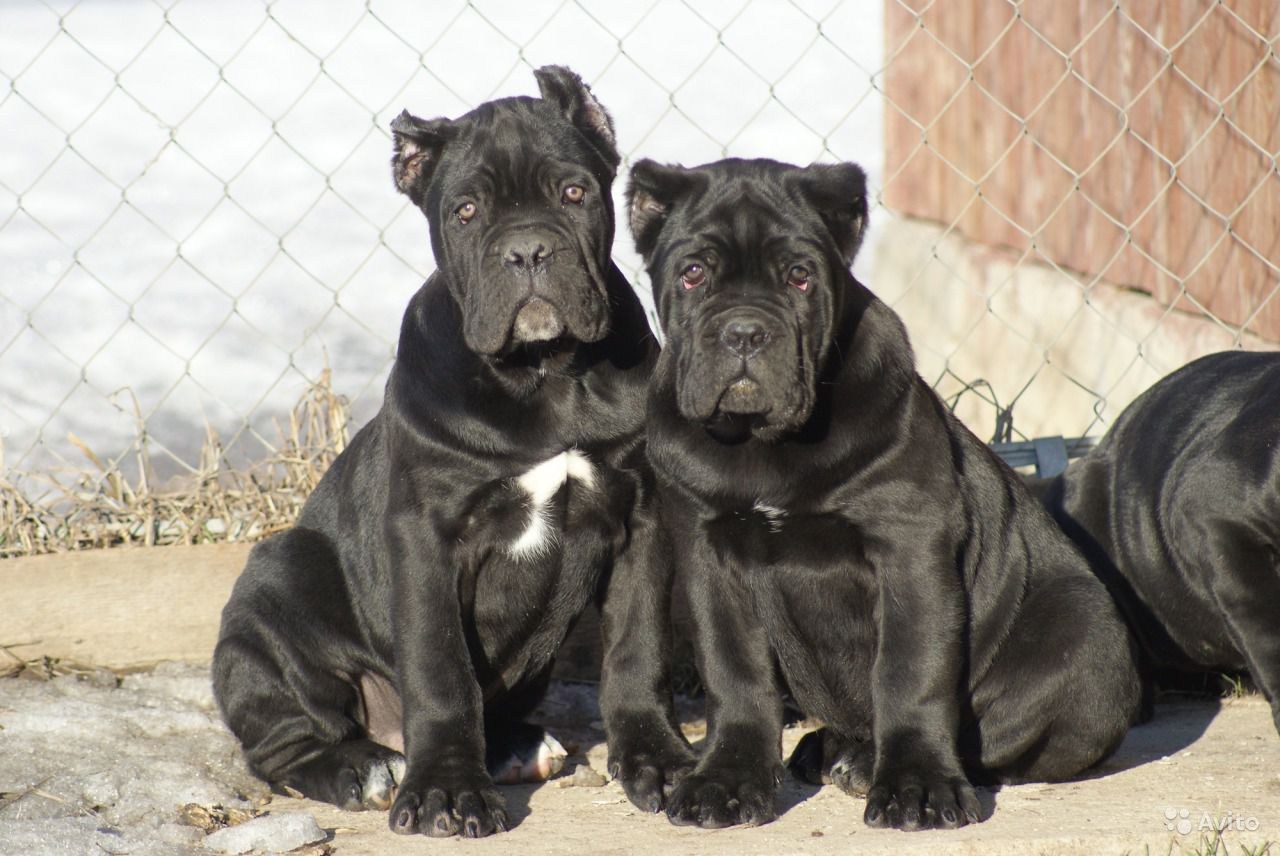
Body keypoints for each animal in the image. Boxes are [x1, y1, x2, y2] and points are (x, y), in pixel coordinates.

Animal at [209, 65, 696, 834]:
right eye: (465, 211)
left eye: (575, 193)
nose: (527, 249)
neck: (545, 373)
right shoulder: (427, 537)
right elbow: (441, 671)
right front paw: (445, 789)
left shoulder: (640, 518)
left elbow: (637, 646)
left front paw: (658, 758)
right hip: (277, 579)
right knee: (284, 742)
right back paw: (363, 768)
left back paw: (518, 747)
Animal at [627, 155, 1141, 829]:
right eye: (692, 274)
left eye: (800, 278)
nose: (744, 331)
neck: (763, 443)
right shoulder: (709, 553)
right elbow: (733, 672)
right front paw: (726, 780)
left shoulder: (908, 550)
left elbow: (909, 671)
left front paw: (916, 786)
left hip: (1087, 637)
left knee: (995, 731)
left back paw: (864, 761)